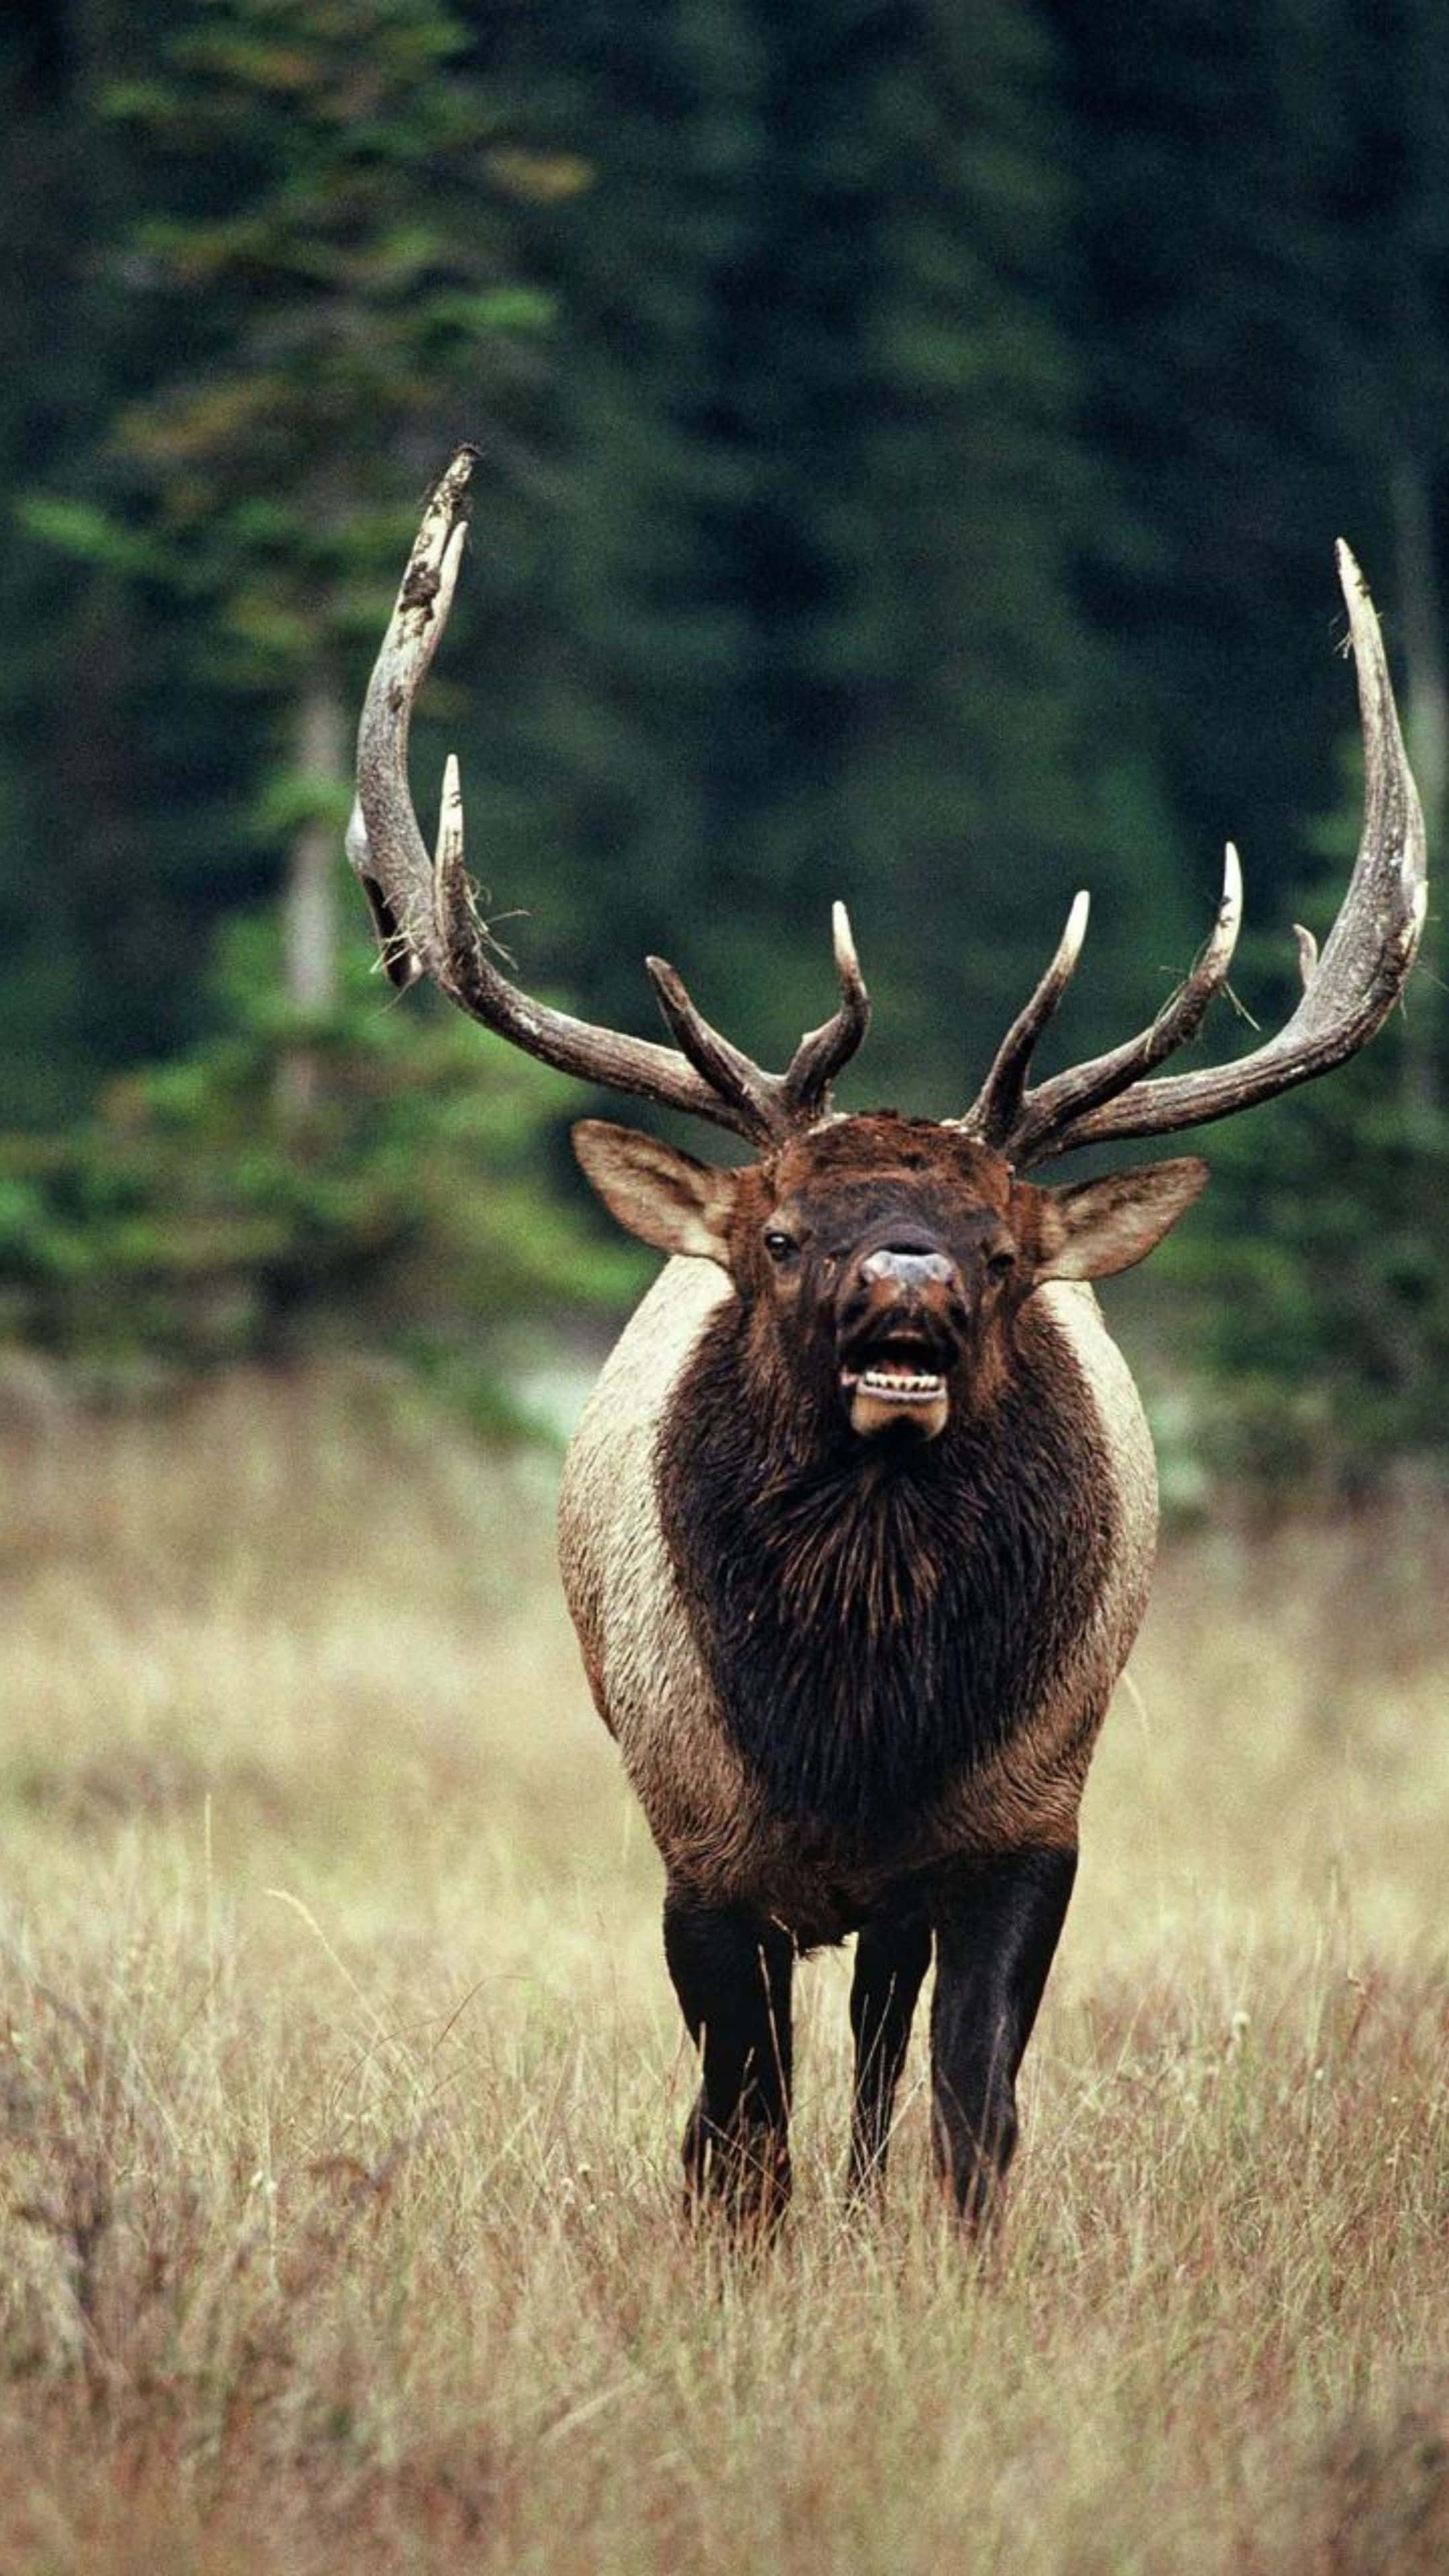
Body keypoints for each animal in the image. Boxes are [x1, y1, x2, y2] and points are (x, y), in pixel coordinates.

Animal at [348, 448, 1426, 2234]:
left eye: (1003, 1251)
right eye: (782, 1235)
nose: (905, 1287)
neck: (856, 1731)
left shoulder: (1029, 1818)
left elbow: (974, 2111)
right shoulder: (698, 1837)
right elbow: (737, 2129)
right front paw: (743, 2255)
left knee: (875, 2032)